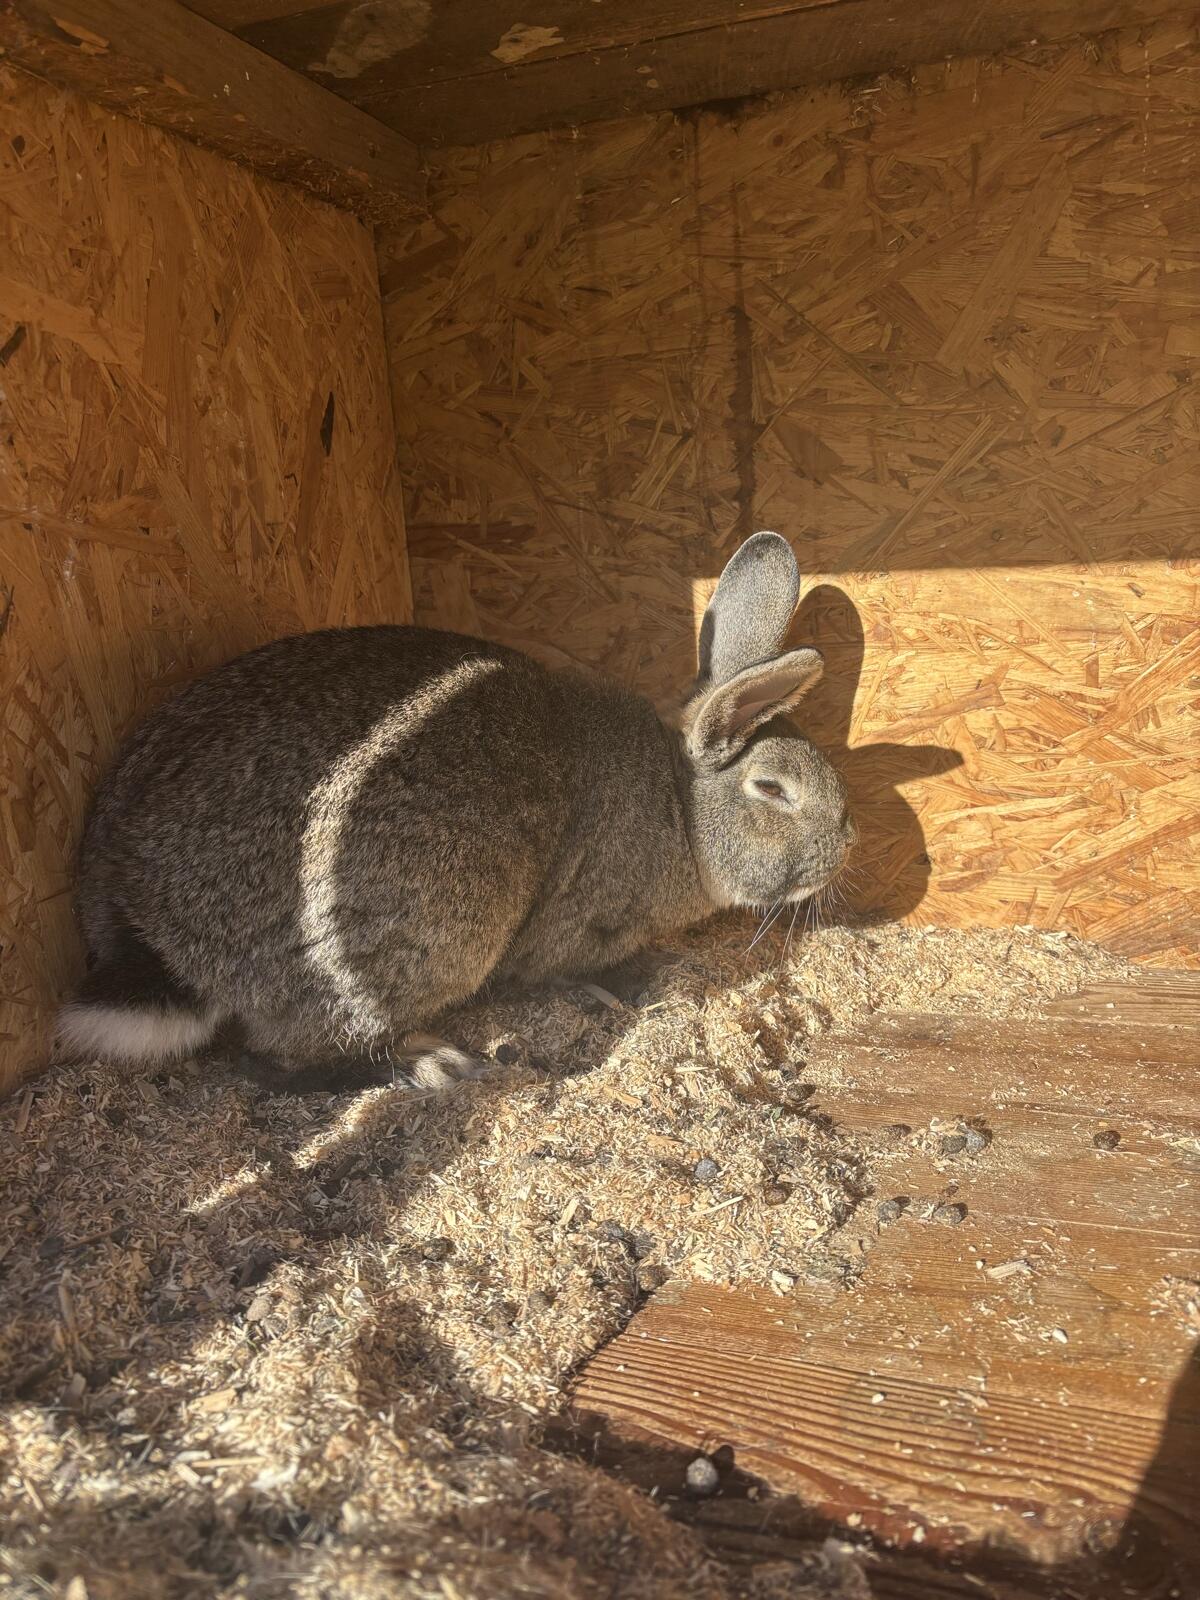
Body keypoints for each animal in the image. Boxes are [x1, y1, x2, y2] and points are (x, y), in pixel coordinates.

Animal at [59, 531, 854, 1092]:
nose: (844, 848)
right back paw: (431, 1063)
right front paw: (633, 986)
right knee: (279, 1062)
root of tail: (143, 923)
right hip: (422, 938)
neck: (681, 810)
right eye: (773, 789)